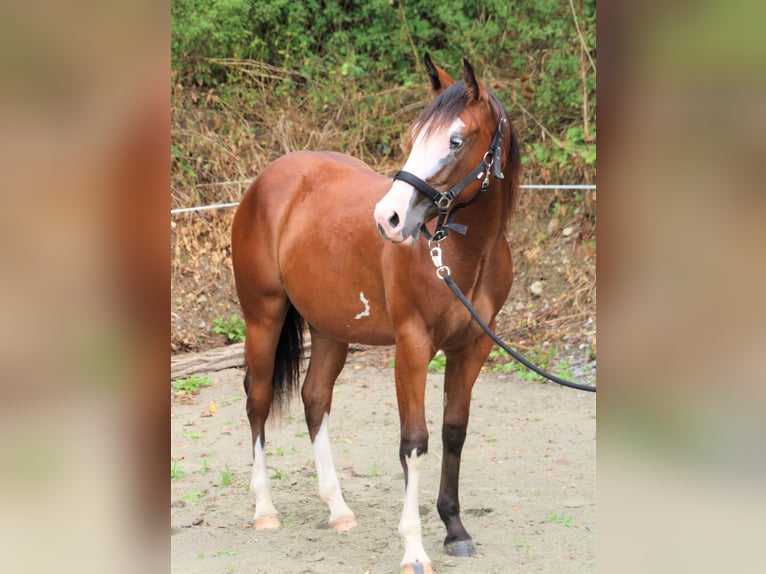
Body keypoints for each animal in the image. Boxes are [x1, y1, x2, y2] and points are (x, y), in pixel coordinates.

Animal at [234, 55, 520, 574]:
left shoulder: (473, 347)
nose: (389, 218)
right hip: (263, 318)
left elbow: (453, 431)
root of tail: (267, 181)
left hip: (331, 329)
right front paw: (414, 549)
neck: (459, 254)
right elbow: (415, 441)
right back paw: (264, 508)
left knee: (314, 397)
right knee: (258, 400)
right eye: (414, 134)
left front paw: (454, 529)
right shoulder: (413, 346)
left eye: (455, 140)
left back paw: (338, 509)